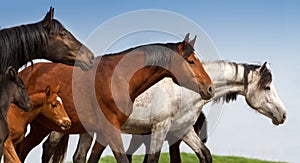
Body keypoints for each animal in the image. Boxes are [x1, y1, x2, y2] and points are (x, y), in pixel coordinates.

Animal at [15, 33, 213, 162]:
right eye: (191, 61)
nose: (209, 87)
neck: (119, 78)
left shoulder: (105, 131)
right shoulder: (117, 129)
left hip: (41, 127)